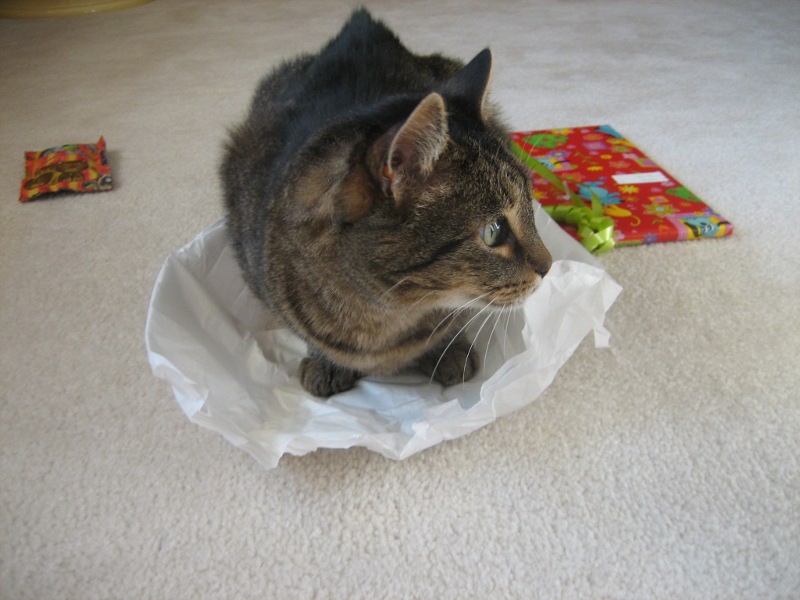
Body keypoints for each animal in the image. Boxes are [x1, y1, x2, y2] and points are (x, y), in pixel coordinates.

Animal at [222, 8, 552, 397]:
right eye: (493, 231)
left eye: (530, 205)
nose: (549, 266)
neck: (385, 317)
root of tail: (362, 22)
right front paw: (326, 362)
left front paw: (449, 349)